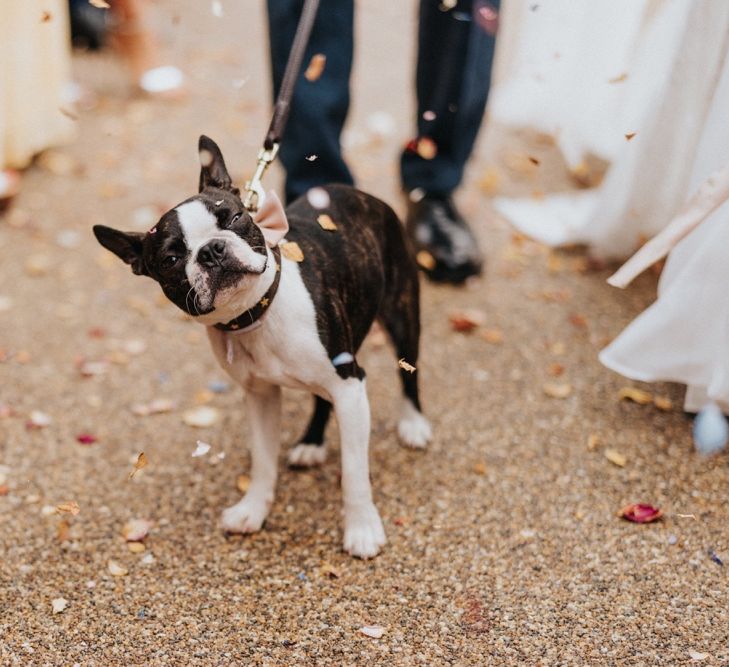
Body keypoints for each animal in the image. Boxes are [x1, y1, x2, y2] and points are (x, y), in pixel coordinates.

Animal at [94, 137, 430, 560]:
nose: (212, 250)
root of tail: (356, 193)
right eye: (171, 258)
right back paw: (311, 442)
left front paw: (362, 529)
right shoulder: (261, 396)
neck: (256, 316)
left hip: (401, 313)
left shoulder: (350, 386)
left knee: (409, 369)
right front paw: (253, 509)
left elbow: (354, 472)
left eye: (236, 217)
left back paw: (413, 423)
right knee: (322, 398)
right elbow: (263, 462)